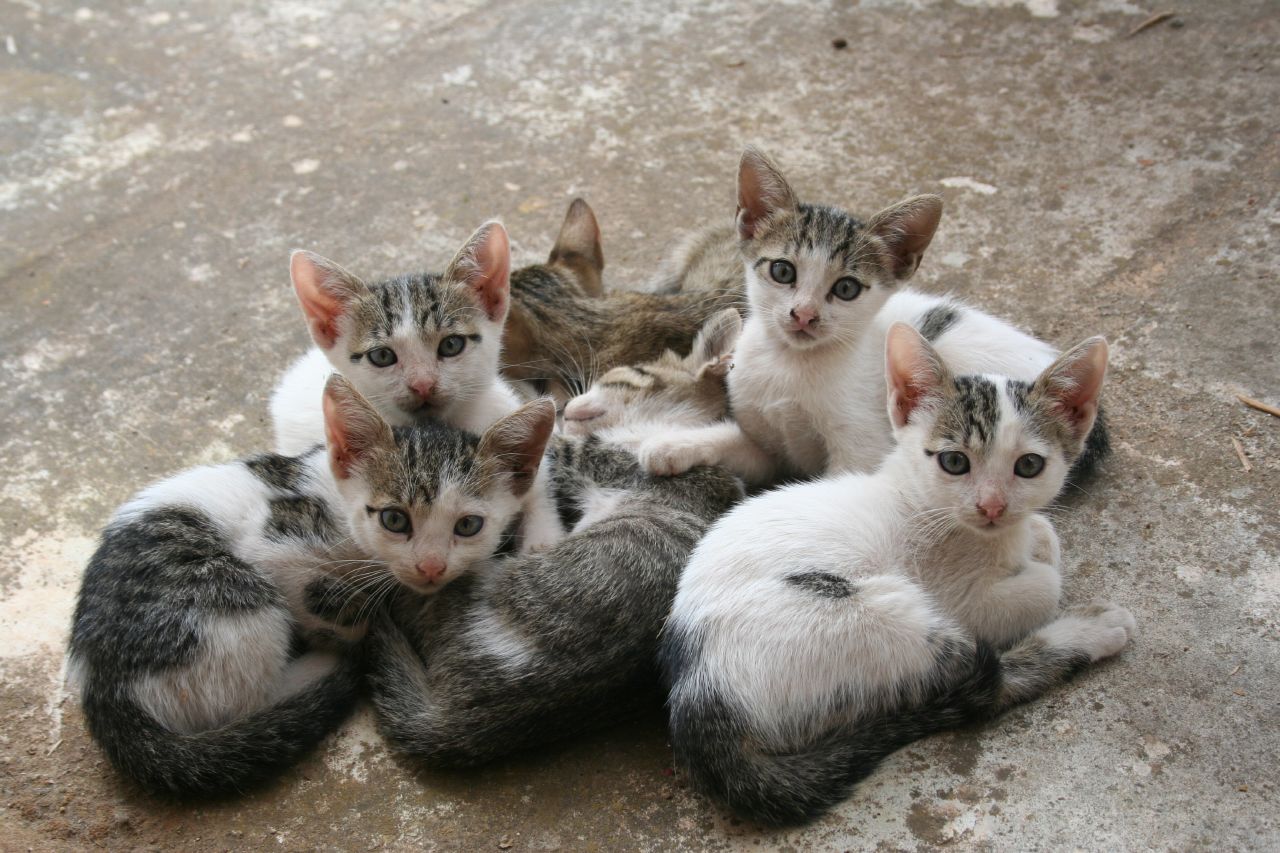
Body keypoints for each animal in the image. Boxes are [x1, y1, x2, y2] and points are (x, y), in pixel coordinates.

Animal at [67, 376, 552, 794]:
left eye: (468, 526)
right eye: (394, 519)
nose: (430, 567)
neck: (340, 505)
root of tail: (101, 686)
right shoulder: (273, 546)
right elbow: (323, 602)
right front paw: (344, 623)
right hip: (231, 599)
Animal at [640, 147, 1111, 484]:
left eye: (846, 288)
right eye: (782, 271)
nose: (804, 315)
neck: (790, 365)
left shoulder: (859, 452)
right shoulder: (767, 445)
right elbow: (738, 443)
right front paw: (672, 446)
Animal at [655, 322, 1136, 819]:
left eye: (1029, 465)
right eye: (954, 461)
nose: (992, 506)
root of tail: (695, 701)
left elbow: (1044, 535)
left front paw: (1037, 538)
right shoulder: (960, 598)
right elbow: (1044, 586)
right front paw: (1040, 566)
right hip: (880, 616)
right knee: (987, 683)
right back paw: (1093, 629)